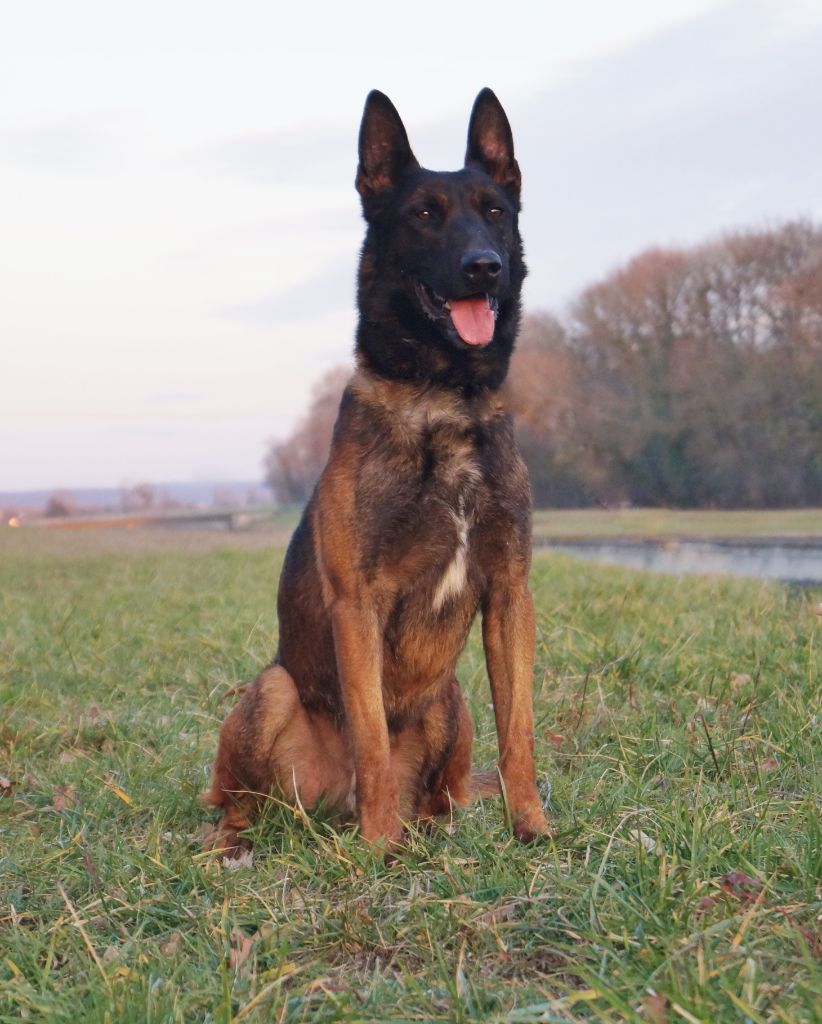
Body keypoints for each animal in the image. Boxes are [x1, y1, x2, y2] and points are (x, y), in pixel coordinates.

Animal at [205, 86, 548, 856]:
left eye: (495, 211)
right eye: (423, 215)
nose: (485, 266)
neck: (444, 400)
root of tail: (328, 806)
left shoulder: (510, 593)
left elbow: (519, 732)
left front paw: (534, 829)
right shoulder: (357, 602)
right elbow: (369, 736)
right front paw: (379, 847)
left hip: (452, 701)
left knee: (447, 792)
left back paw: (429, 825)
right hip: (269, 692)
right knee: (231, 798)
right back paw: (243, 844)